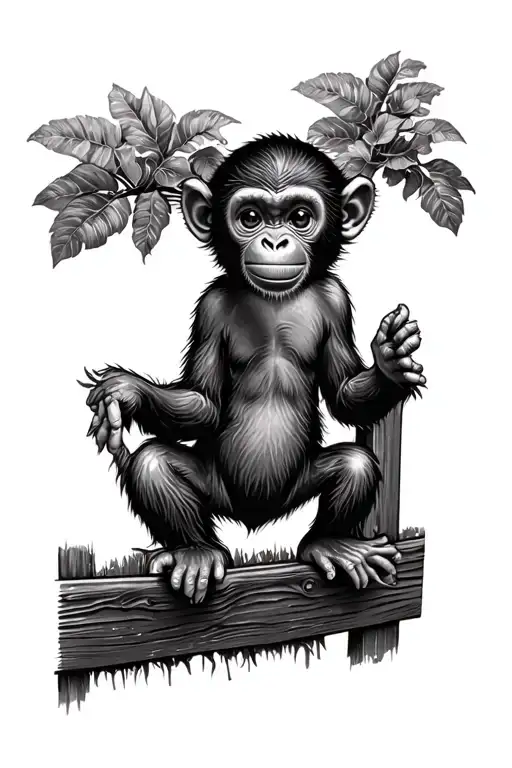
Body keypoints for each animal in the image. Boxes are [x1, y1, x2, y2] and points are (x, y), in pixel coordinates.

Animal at [85, 134, 425, 604]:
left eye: (300, 217)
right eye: (249, 217)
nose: (275, 242)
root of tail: (254, 516)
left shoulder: (335, 299)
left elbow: (343, 394)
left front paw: (391, 361)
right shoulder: (210, 307)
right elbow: (203, 403)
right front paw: (124, 391)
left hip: (299, 485)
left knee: (355, 465)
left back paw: (330, 544)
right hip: (214, 487)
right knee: (152, 464)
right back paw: (194, 551)